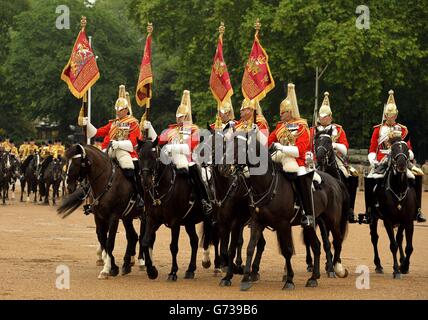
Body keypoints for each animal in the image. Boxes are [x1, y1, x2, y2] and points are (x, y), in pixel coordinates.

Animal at [57, 144, 145, 278]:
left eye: (78, 162)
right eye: (67, 162)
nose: (68, 186)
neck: (106, 181)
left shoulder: (113, 217)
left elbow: (110, 242)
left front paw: (106, 269)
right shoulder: (99, 217)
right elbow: (103, 239)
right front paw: (112, 267)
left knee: (141, 237)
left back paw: (141, 262)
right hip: (127, 217)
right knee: (133, 237)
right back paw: (126, 265)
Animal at [139, 139, 212, 282]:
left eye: (153, 157)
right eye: (139, 157)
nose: (145, 182)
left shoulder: (175, 222)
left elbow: (173, 246)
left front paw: (173, 272)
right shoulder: (152, 219)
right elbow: (145, 242)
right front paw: (152, 271)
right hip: (189, 222)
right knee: (195, 241)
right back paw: (190, 270)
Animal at [229, 130, 350, 290]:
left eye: (241, 147)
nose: (225, 166)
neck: (266, 184)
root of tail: (335, 181)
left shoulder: (283, 224)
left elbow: (287, 251)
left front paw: (289, 280)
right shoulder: (257, 222)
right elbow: (250, 247)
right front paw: (245, 279)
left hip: (332, 221)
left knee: (336, 241)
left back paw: (336, 269)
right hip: (312, 222)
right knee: (317, 245)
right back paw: (313, 278)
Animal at [370, 138, 416, 278]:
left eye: (407, 149)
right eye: (393, 149)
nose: (401, 165)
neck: (399, 189)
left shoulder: (408, 221)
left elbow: (408, 246)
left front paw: (404, 266)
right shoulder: (388, 221)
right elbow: (393, 245)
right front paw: (396, 270)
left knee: (400, 238)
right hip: (373, 217)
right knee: (374, 238)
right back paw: (378, 265)